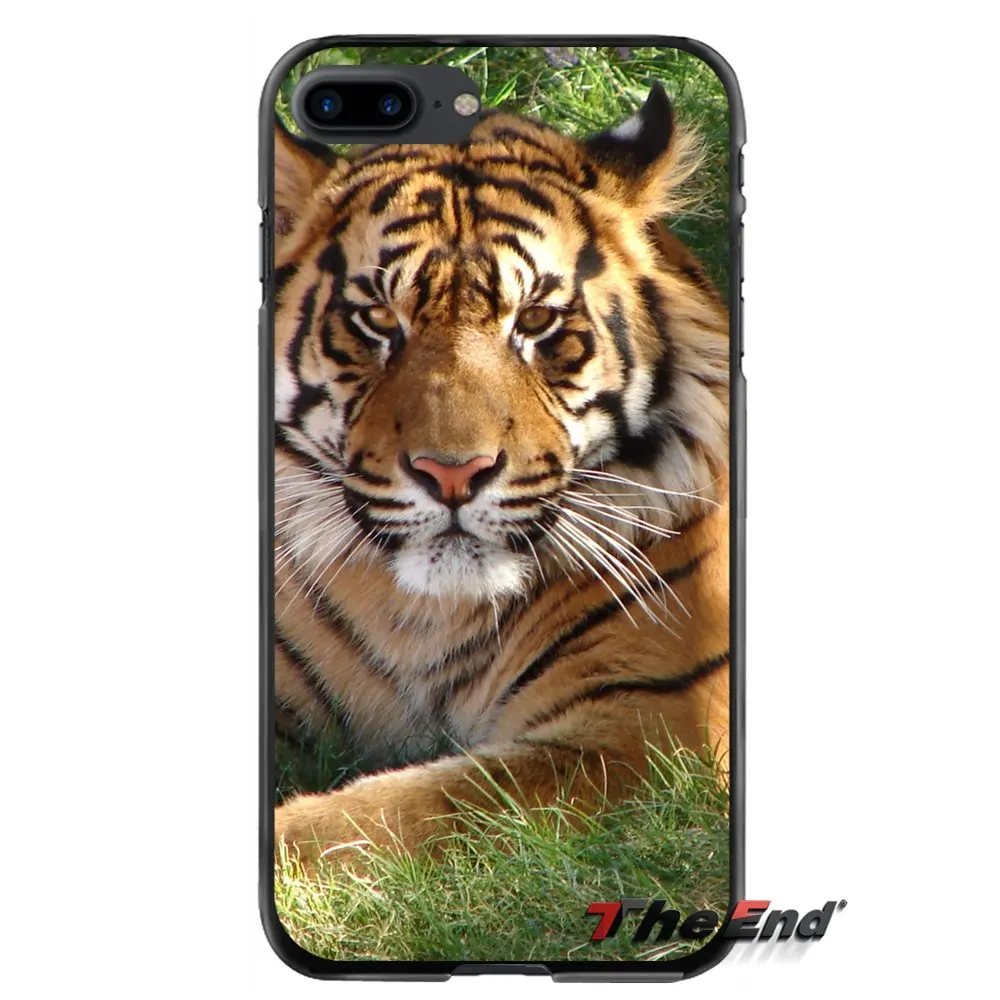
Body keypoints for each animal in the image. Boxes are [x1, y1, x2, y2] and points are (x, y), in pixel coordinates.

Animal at [271, 82, 731, 863]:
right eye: (377, 321)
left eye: (536, 322)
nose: (452, 473)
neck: (421, 616)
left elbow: (404, 809)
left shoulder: (649, 727)